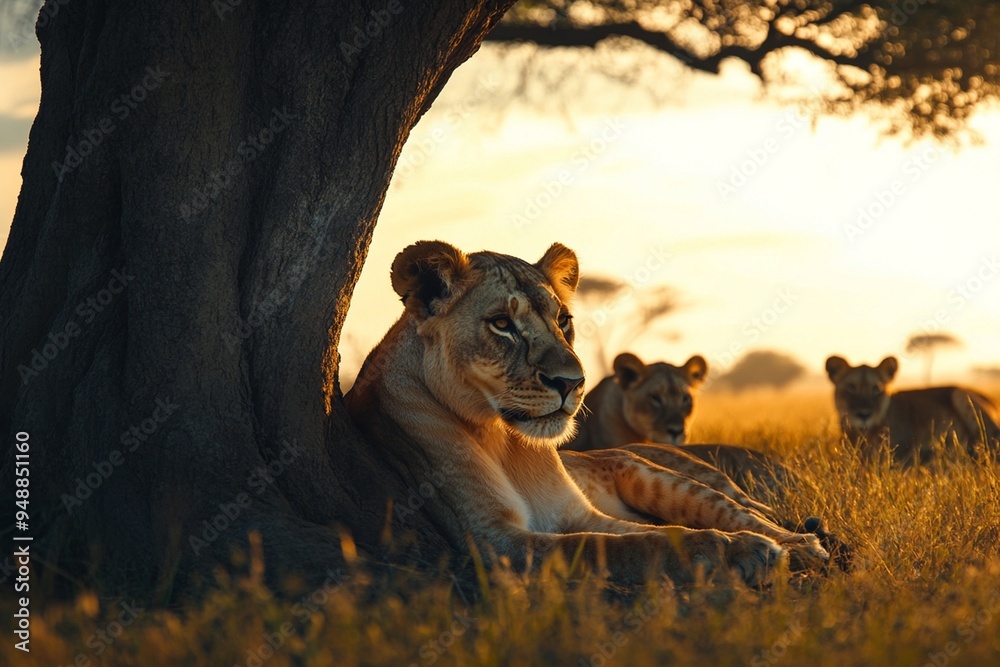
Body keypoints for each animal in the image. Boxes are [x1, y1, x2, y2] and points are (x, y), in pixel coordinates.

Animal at [825, 355, 1000, 464]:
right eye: (851, 387)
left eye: (876, 389)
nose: (864, 414)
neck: (863, 433)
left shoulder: (903, 449)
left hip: (960, 394)